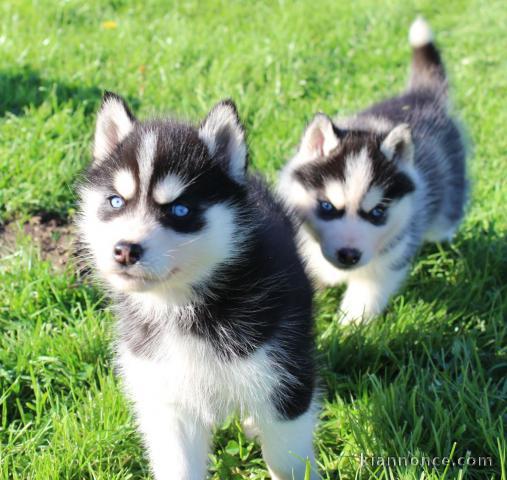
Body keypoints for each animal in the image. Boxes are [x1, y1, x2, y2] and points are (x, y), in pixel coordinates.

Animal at [76, 94, 318, 480]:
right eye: (115, 201)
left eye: (180, 209)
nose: (125, 249)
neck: (179, 305)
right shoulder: (166, 397)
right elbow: (178, 465)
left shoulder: (284, 378)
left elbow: (287, 459)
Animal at [278, 19, 468, 326]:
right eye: (327, 206)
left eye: (378, 212)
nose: (348, 255)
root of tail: (420, 96)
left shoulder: (388, 261)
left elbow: (365, 297)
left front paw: (349, 328)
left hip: (448, 201)